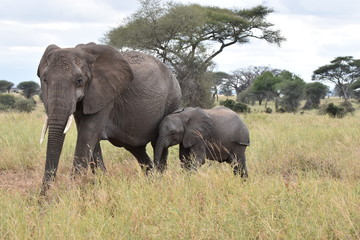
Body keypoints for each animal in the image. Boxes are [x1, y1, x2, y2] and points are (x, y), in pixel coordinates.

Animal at [38, 42, 181, 194]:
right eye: (45, 80)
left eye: (79, 81)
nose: (42, 197)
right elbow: (90, 140)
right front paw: (101, 184)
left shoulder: (105, 95)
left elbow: (87, 134)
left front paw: (72, 193)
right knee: (137, 149)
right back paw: (151, 181)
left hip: (172, 100)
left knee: (158, 144)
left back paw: (159, 183)